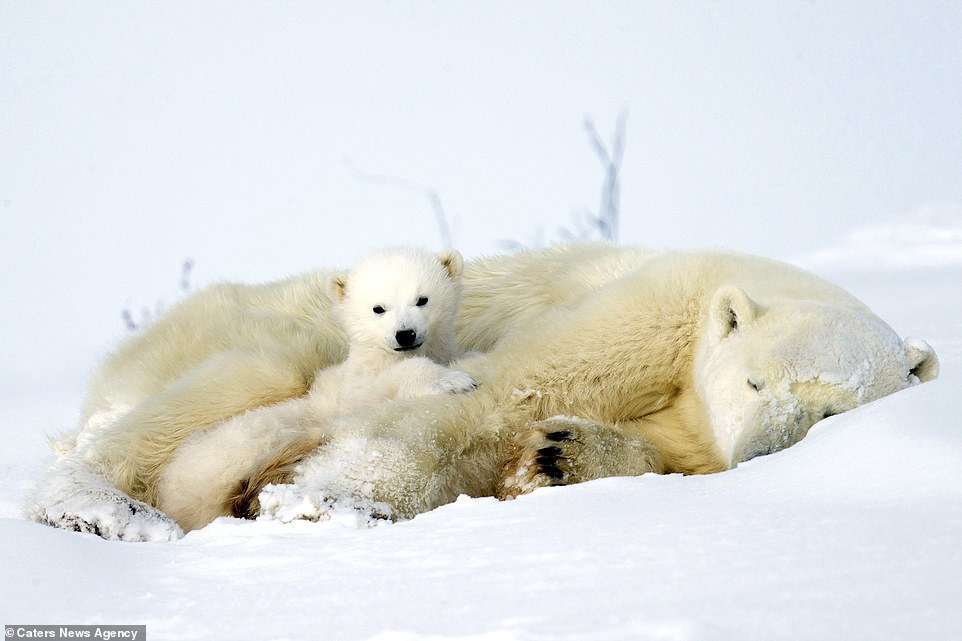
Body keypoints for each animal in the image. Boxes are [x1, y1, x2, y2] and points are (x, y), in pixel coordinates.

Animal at [28, 242, 936, 536]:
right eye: (753, 379)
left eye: (827, 412)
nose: (759, 452)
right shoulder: (661, 304)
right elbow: (513, 386)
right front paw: (327, 502)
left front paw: (558, 455)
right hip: (255, 326)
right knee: (240, 377)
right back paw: (100, 505)